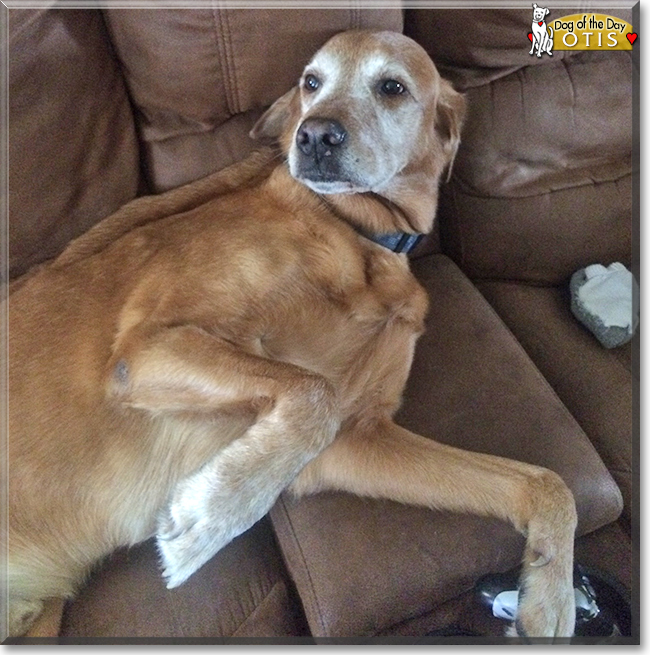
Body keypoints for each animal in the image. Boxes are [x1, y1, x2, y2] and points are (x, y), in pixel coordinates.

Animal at [3, 32, 572, 640]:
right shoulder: (148, 346)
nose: (314, 135)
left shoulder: (358, 437)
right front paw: (212, 518)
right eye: (311, 82)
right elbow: (311, 390)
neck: (357, 232)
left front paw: (551, 601)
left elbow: (544, 482)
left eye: (392, 87)